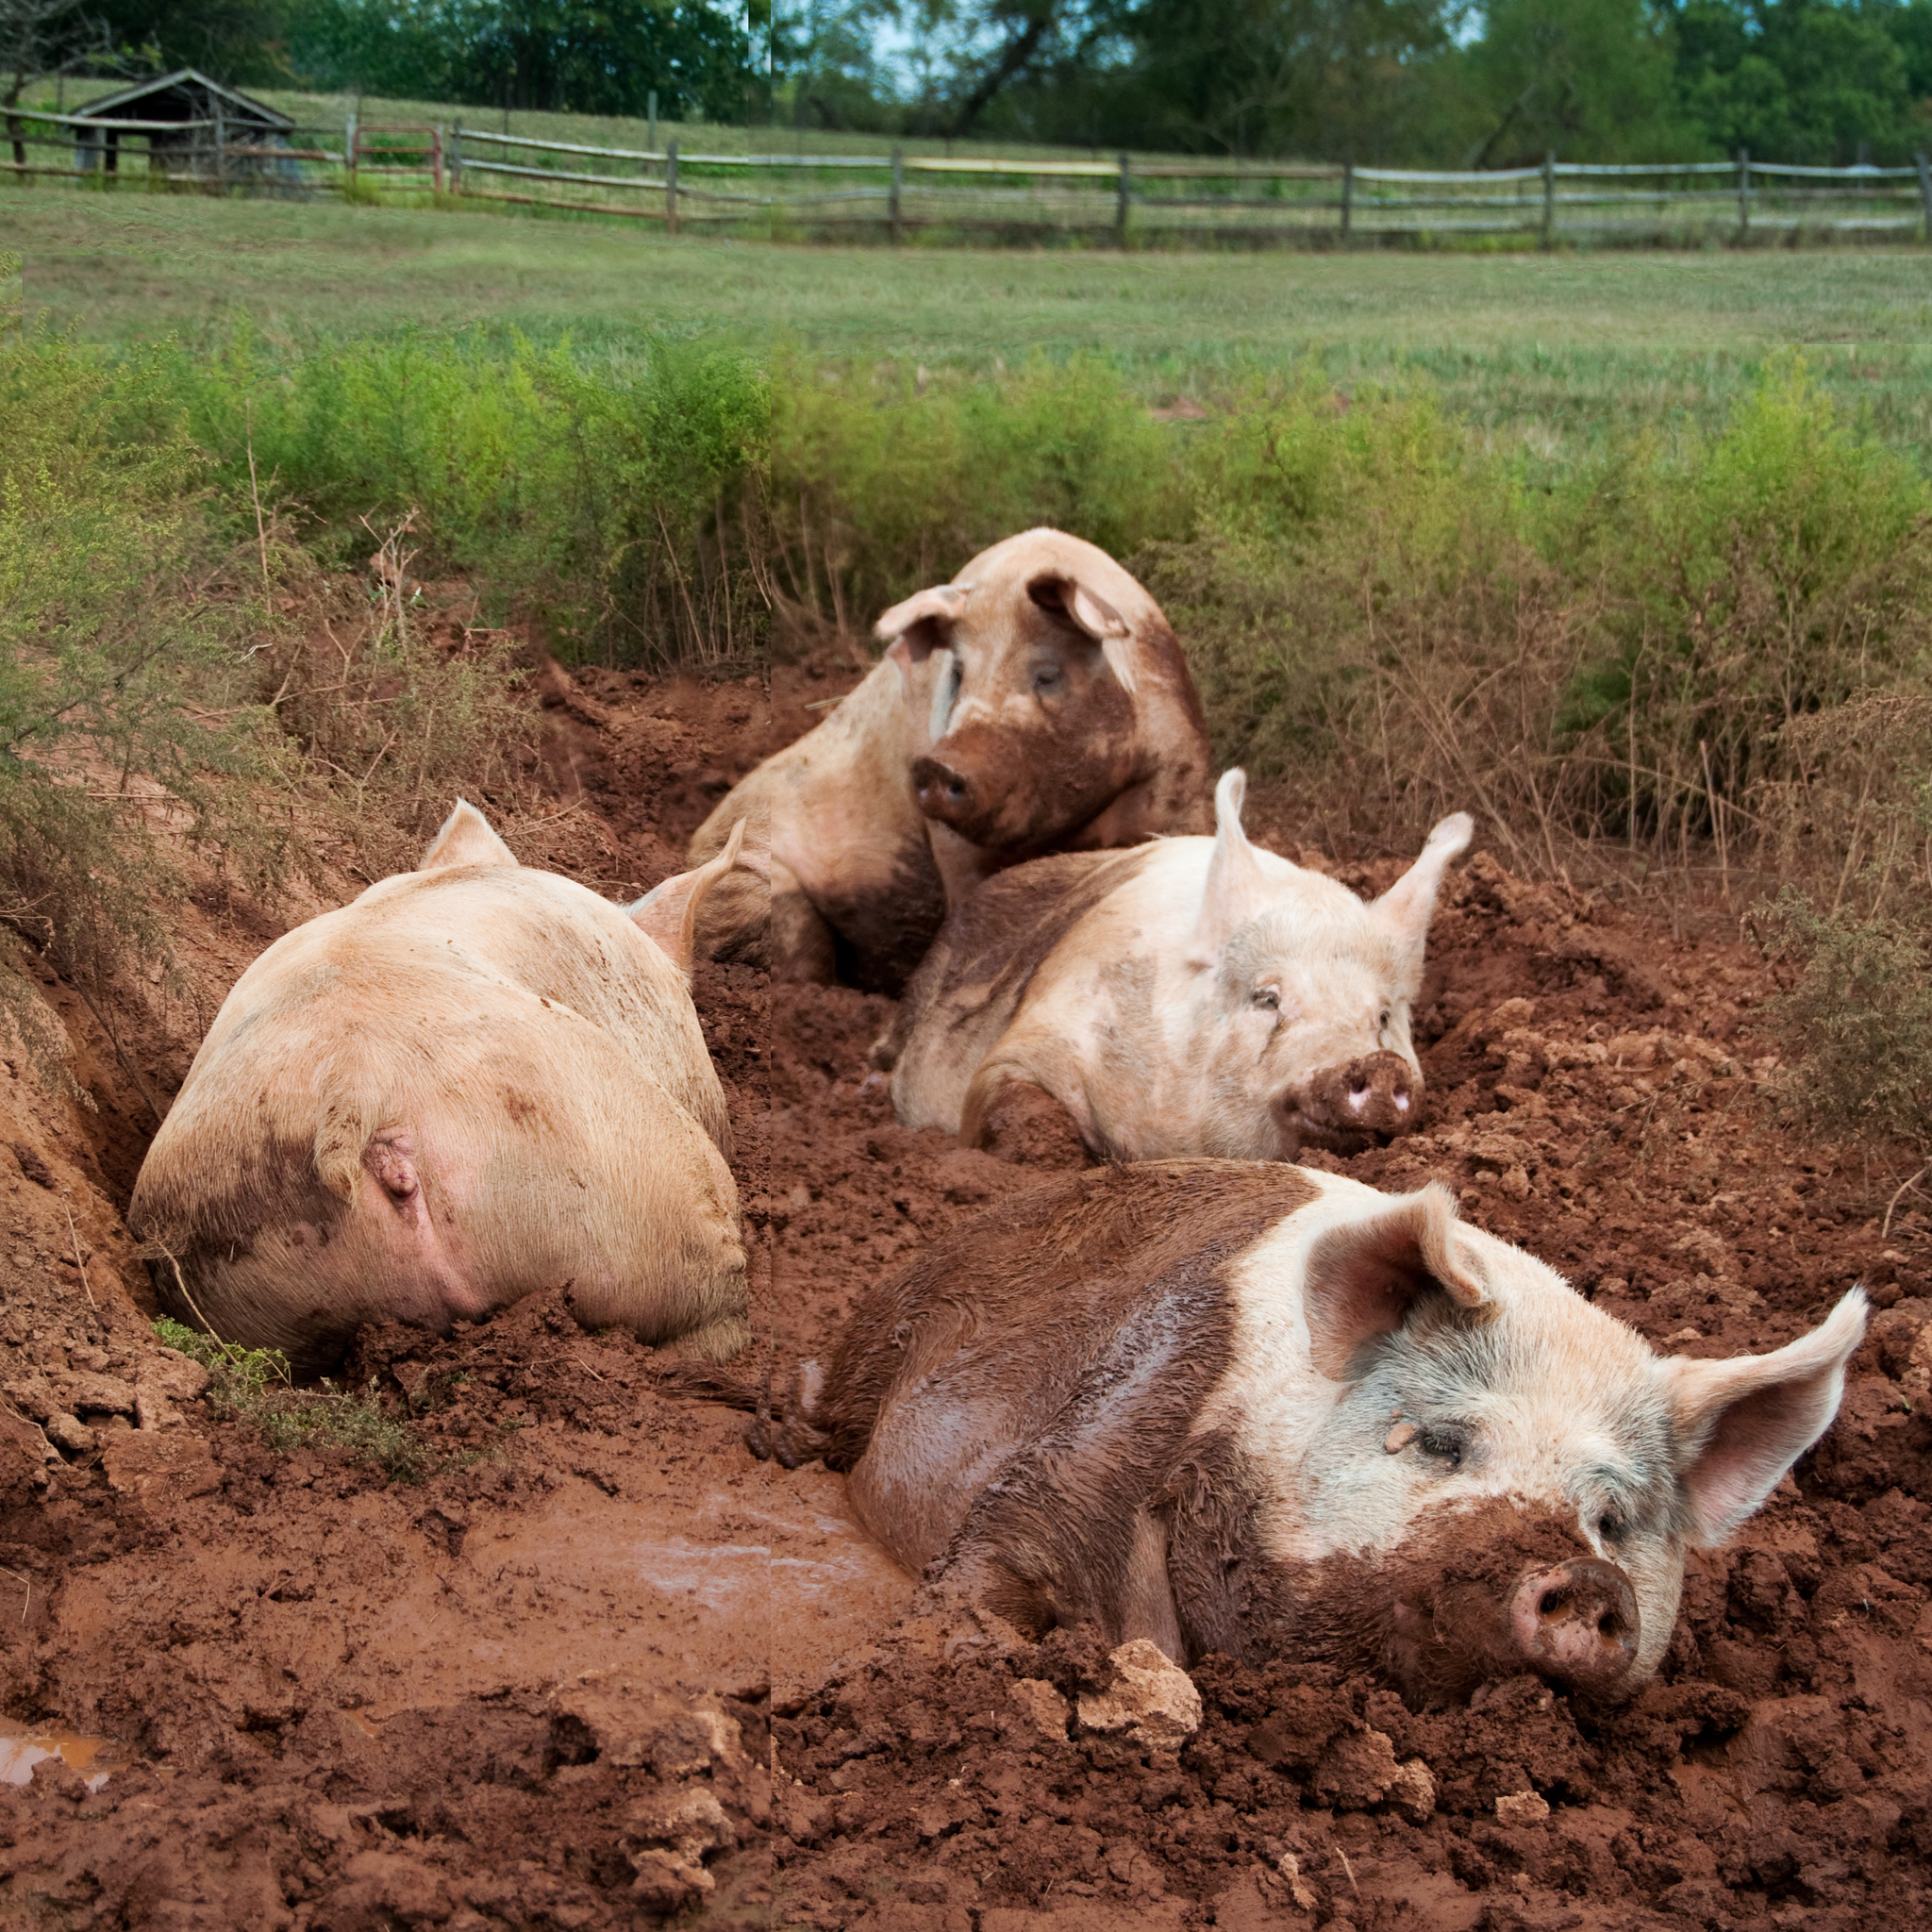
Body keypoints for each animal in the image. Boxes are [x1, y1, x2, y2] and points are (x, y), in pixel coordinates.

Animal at [691, 537, 1205, 1004]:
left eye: (1047, 674)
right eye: (958, 674)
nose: (936, 766)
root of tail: (694, 843)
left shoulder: (1179, 784)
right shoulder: (950, 844)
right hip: (763, 883)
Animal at [745, 1158, 1862, 1707]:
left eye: (1613, 1520)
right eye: (1442, 1441)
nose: (1585, 1581)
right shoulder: (1103, 1429)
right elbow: (997, 1562)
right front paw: (929, 1660)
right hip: (884, 1330)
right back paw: (772, 1434)